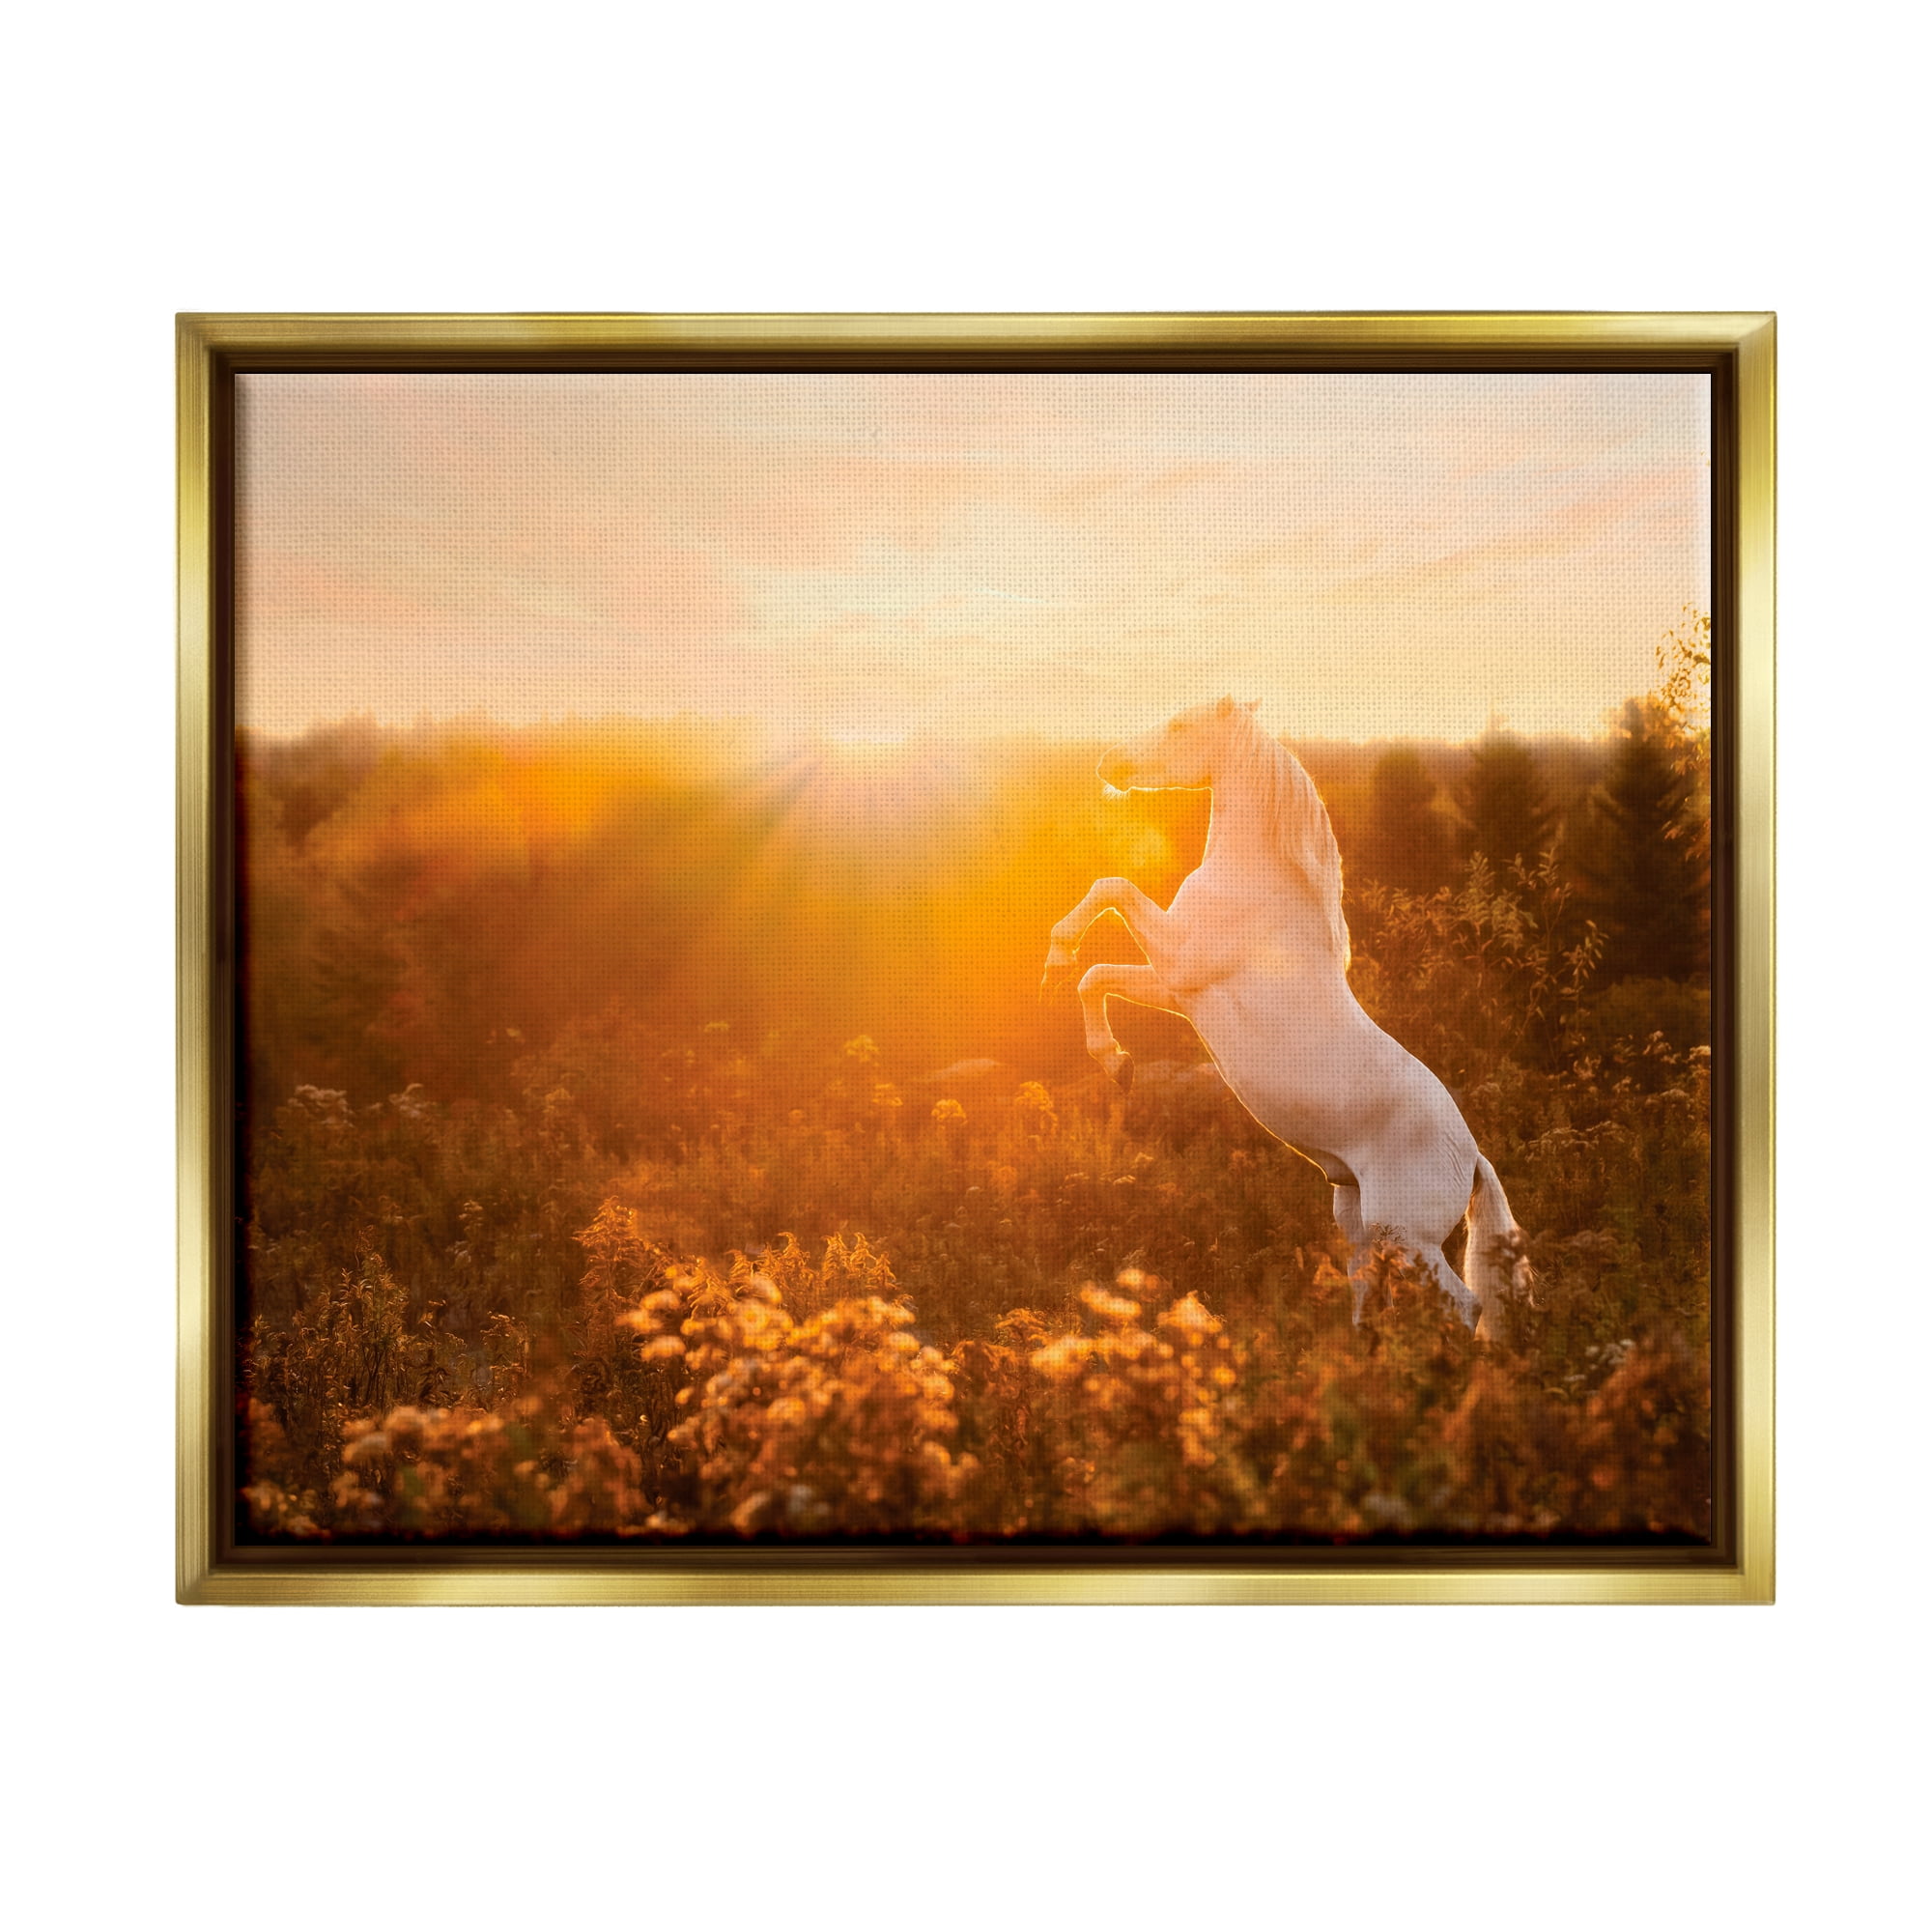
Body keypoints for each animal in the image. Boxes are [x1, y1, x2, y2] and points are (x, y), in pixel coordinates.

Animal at [1040, 696, 1531, 1336]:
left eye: (1181, 724)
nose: (1109, 763)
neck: (1257, 882)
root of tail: (1470, 1155)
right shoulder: (1175, 990)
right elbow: (1094, 976)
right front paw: (1115, 1061)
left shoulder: (1177, 963)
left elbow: (1110, 894)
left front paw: (1064, 967)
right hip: (1359, 1223)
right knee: (1372, 1295)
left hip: (1407, 1237)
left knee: (1465, 1307)